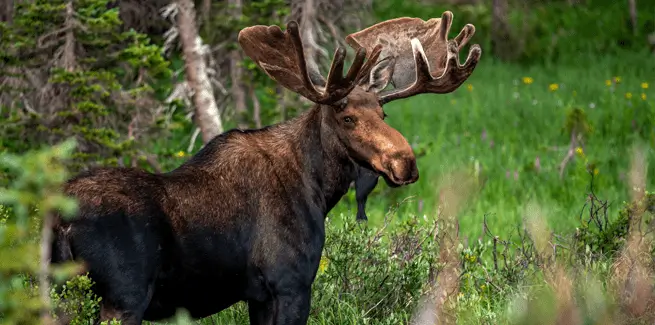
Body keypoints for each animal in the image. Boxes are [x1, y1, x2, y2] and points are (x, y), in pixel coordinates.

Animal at [50, 11, 482, 324]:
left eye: (383, 112)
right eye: (346, 117)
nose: (405, 163)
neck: (317, 188)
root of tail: (58, 219)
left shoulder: (257, 297)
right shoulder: (290, 284)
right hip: (123, 297)